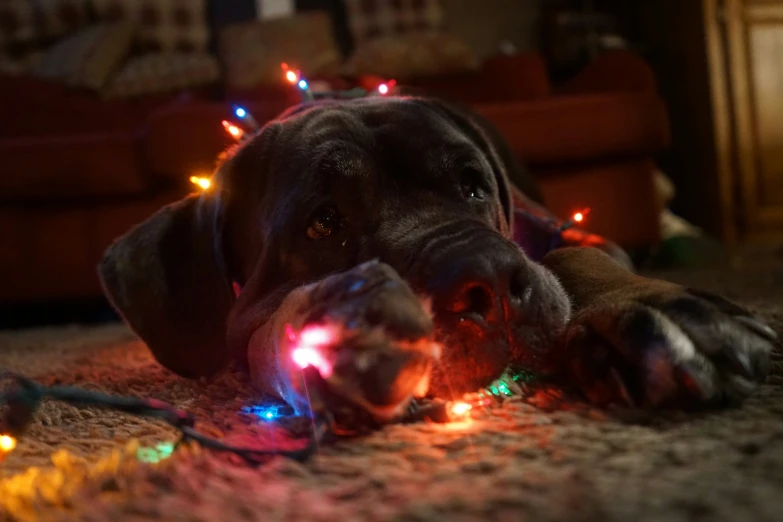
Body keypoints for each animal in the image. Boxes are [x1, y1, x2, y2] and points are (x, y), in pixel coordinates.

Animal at [99, 97, 776, 420]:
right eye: (323, 222)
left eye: (473, 185)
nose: (490, 280)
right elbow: (264, 330)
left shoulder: (569, 236)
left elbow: (574, 262)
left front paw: (660, 311)